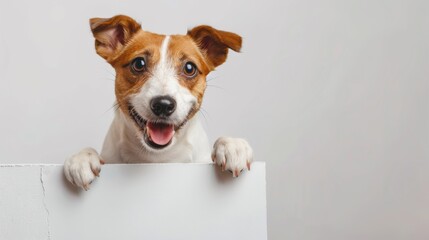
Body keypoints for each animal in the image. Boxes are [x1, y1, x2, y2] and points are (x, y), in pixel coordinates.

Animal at [61, 15, 252, 191]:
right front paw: (82, 158)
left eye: (189, 68)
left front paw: (232, 146)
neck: (156, 160)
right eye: (139, 63)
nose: (163, 105)